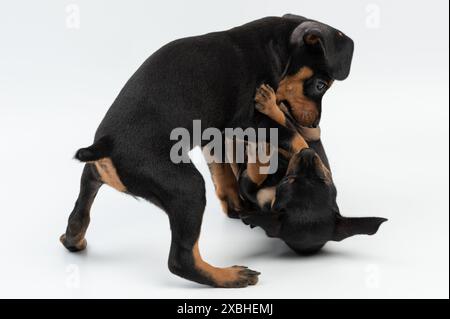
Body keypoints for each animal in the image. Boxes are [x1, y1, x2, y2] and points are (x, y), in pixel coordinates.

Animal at [60, 13, 356, 288]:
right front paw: (305, 151)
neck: (273, 50)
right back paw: (229, 276)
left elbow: (224, 172)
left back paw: (73, 237)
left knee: (83, 201)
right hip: (188, 188)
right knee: (181, 260)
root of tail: (106, 145)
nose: (314, 126)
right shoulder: (250, 121)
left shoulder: (215, 134)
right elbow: (289, 134)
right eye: (320, 85)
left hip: (100, 176)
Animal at [239, 85, 386, 255]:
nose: (308, 154)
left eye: (289, 181)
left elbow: (294, 140)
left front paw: (262, 151)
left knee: (296, 128)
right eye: (325, 181)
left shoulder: (253, 191)